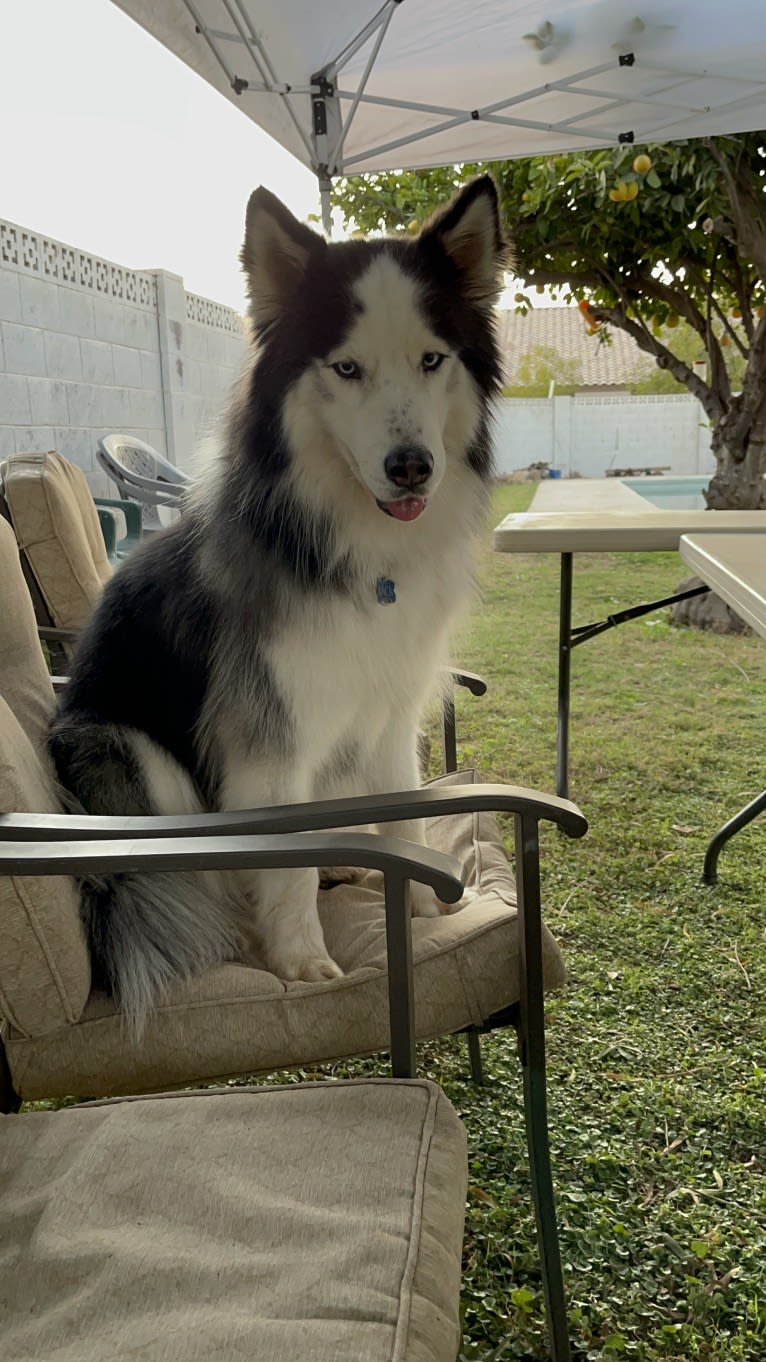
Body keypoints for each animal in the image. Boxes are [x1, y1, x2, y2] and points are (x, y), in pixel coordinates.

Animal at [50, 178, 509, 1029]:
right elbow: (281, 865)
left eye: (432, 360)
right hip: (127, 748)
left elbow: (406, 810)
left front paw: (425, 906)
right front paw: (301, 960)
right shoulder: (266, 735)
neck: (351, 544)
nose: (412, 468)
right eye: (347, 368)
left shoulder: (391, 713)